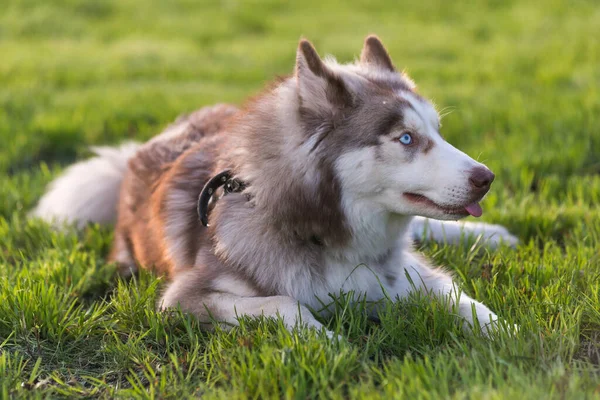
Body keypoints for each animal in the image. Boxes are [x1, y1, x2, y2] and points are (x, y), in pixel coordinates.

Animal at [35, 34, 516, 336]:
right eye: (406, 139)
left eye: (437, 132)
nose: (487, 178)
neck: (323, 236)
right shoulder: (183, 299)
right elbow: (284, 304)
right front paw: (330, 343)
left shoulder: (413, 277)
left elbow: (467, 301)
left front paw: (509, 335)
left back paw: (491, 235)